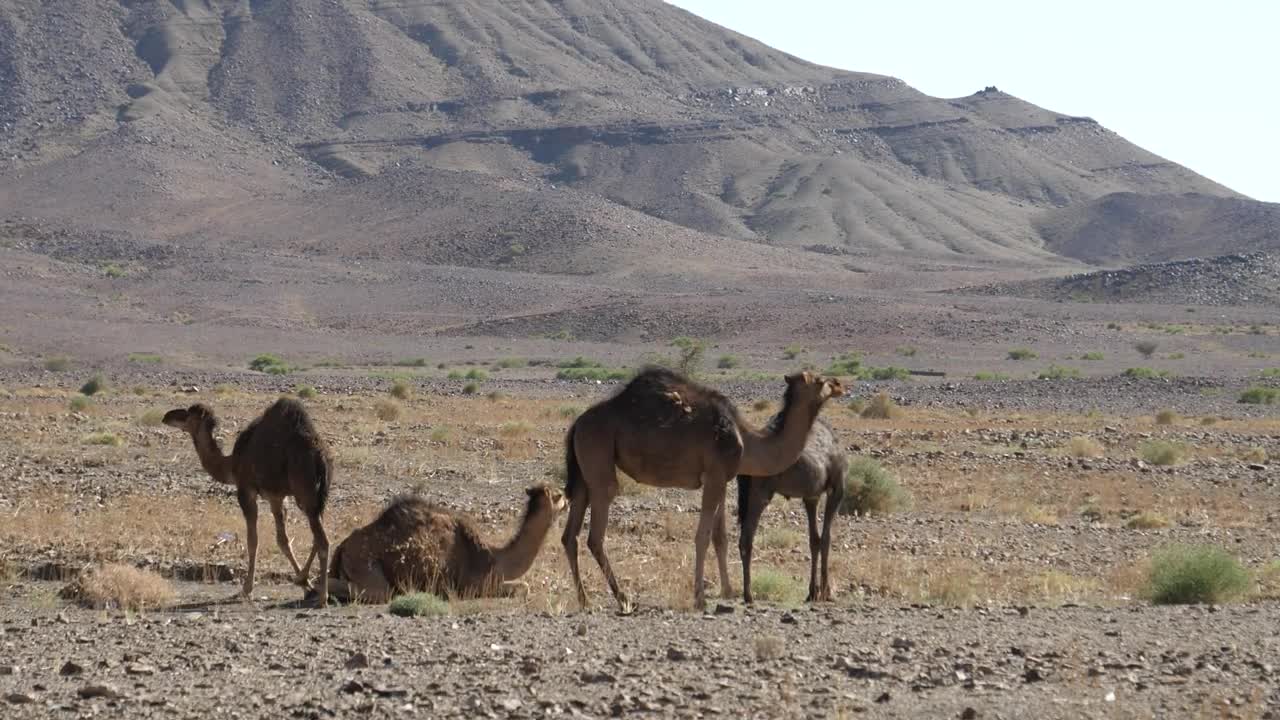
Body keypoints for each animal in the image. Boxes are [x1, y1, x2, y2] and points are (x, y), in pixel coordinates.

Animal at [163, 398, 333, 607]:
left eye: (187, 415)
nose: (166, 416)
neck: (231, 464)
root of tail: (320, 457)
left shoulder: (247, 491)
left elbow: (253, 541)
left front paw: (246, 589)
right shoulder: (277, 497)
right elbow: (283, 541)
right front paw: (306, 586)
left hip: (306, 492)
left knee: (323, 541)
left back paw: (323, 596)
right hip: (317, 497)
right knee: (317, 536)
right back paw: (308, 582)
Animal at [325, 484, 567, 603]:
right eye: (559, 495)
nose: (569, 500)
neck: (492, 557)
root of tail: (342, 547)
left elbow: (524, 585)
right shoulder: (472, 586)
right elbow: (524, 588)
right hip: (368, 569)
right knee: (375, 591)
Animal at [737, 417, 846, 604]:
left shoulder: (811, 496)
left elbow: (814, 540)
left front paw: (813, 593)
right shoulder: (836, 488)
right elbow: (826, 538)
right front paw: (827, 593)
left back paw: (746, 594)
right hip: (761, 491)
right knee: (747, 537)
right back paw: (749, 595)